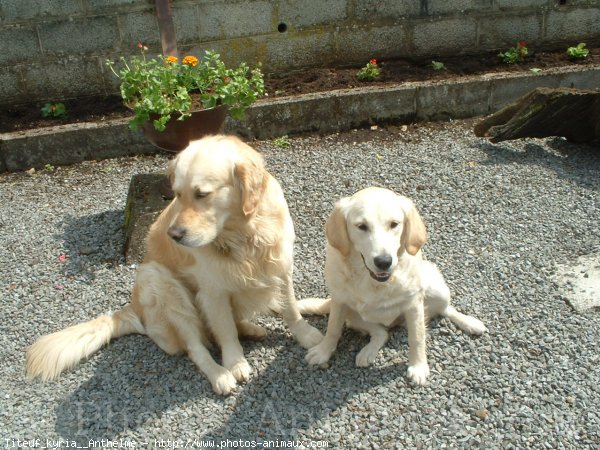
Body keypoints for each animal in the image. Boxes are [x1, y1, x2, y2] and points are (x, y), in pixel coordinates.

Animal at [25, 135, 324, 396]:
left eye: (202, 194)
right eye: (177, 194)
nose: (175, 235)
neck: (245, 232)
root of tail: (132, 309)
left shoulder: (281, 267)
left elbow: (289, 308)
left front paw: (306, 334)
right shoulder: (212, 291)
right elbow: (225, 332)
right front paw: (235, 363)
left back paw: (258, 326)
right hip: (158, 282)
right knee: (197, 347)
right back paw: (220, 375)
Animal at [300, 188, 488, 384]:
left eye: (394, 224)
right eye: (361, 226)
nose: (384, 262)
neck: (374, 282)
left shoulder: (414, 305)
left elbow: (417, 337)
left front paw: (418, 366)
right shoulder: (339, 301)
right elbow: (333, 329)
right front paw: (323, 351)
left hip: (437, 288)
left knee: (445, 309)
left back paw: (470, 322)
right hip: (353, 315)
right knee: (382, 333)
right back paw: (368, 352)